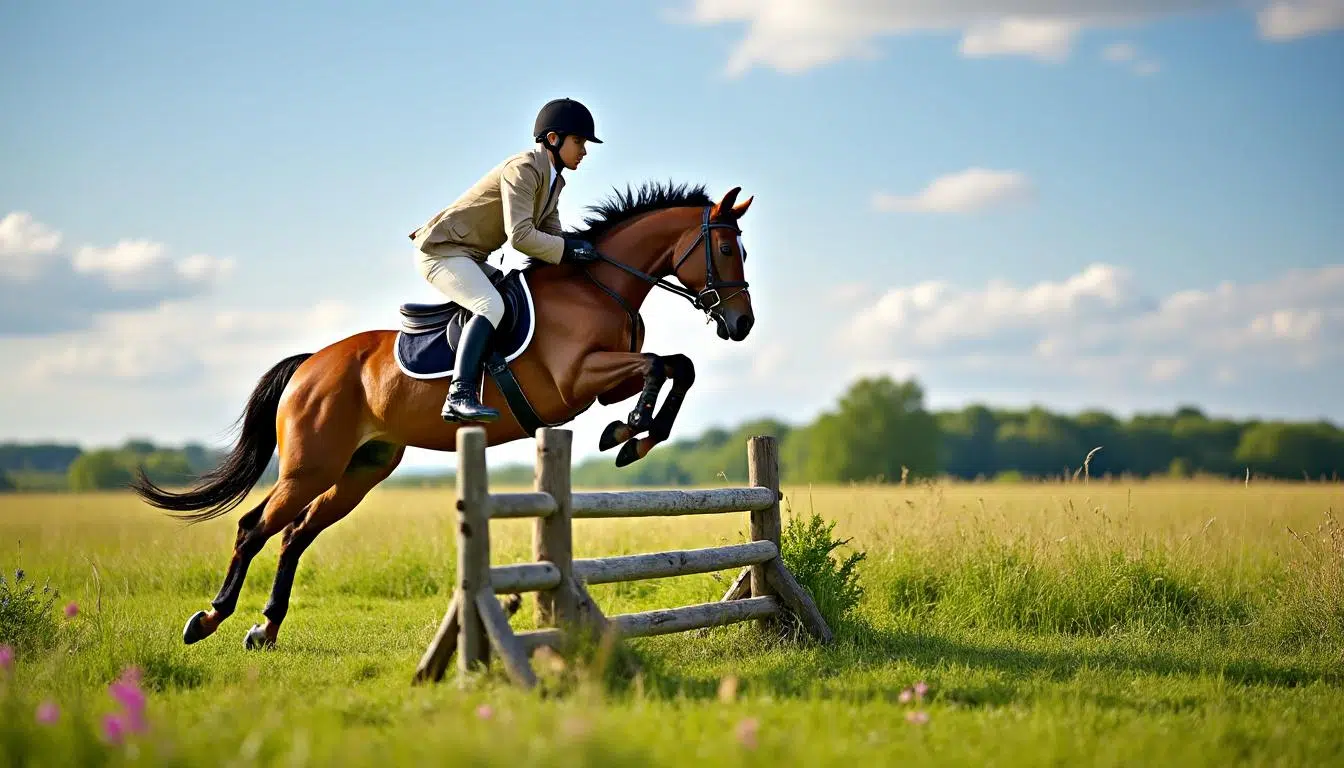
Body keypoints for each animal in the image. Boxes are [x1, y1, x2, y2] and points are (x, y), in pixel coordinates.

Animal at [130, 181, 756, 650]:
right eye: (727, 251)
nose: (742, 324)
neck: (597, 284)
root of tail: (310, 364)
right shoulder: (581, 377)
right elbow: (661, 367)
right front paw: (629, 432)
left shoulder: (605, 380)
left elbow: (677, 367)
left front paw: (633, 435)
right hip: (312, 465)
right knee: (255, 528)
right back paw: (208, 619)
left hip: (360, 470)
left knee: (295, 535)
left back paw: (265, 628)